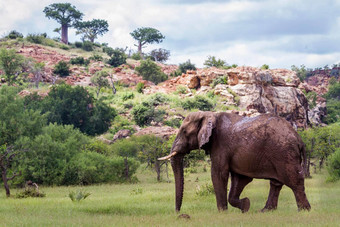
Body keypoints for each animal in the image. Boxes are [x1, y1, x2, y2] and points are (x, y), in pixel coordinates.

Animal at [159, 111, 310, 213]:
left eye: (184, 132)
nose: (178, 212)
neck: (210, 115)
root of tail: (299, 139)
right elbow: (240, 179)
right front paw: (246, 206)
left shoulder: (220, 145)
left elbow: (218, 174)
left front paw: (222, 212)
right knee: (276, 183)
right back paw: (265, 211)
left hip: (284, 153)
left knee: (294, 181)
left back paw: (304, 211)